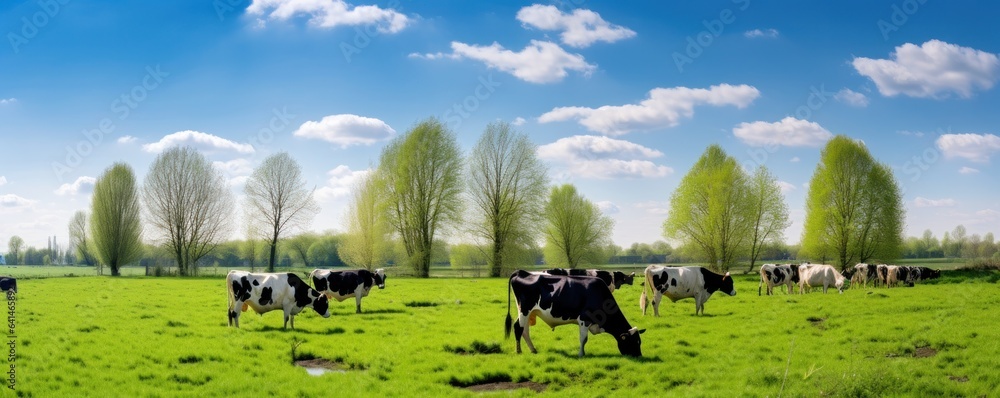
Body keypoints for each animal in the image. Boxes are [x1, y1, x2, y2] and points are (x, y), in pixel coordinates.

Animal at [504, 270, 644, 358]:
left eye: (639, 341)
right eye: (633, 342)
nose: (639, 356)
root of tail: (522, 272)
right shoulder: (584, 319)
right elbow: (584, 338)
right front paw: (581, 354)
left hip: (528, 312)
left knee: (524, 330)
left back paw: (533, 350)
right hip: (525, 310)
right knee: (518, 328)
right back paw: (519, 351)